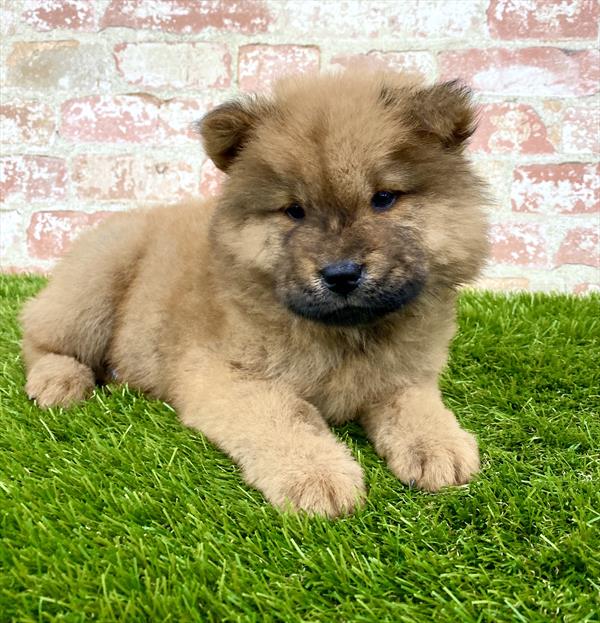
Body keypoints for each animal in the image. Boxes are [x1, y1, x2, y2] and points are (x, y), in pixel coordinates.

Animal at [22, 69, 488, 516]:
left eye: (384, 199)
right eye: (294, 211)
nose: (340, 274)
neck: (346, 334)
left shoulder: (405, 374)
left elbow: (414, 404)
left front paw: (438, 446)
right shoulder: (224, 373)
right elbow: (287, 416)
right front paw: (318, 476)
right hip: (95, 285)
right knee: (37, 336)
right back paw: (58, 381)